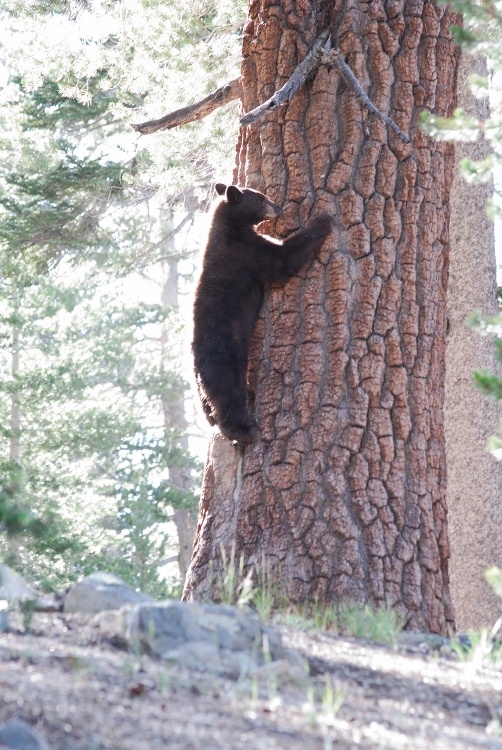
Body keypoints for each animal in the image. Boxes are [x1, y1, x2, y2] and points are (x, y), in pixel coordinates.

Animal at [192, 184, 334, 446]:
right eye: (260, 199)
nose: (279, 208)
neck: (230, 226)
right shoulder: (247, 253)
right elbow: (283, 258)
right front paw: (321, 219)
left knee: (208, 406)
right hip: (224, 357)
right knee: (228, 393)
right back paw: (244, 429)